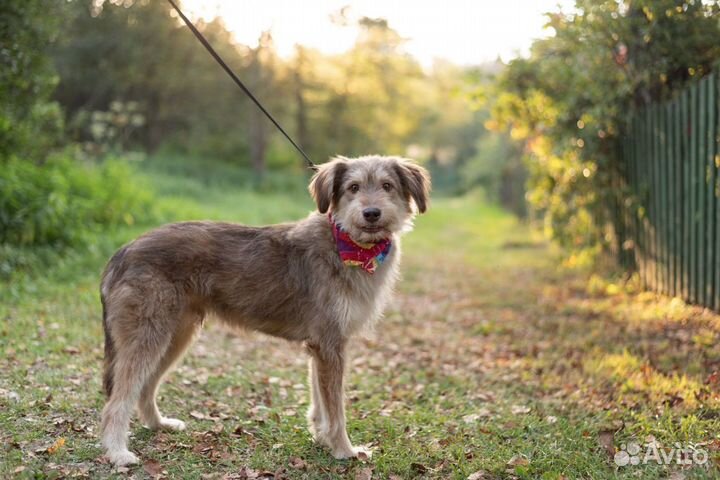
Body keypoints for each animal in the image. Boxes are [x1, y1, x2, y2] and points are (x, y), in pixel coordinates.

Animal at [100, 155, 428, 464]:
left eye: (387, 186)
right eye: (353, 187)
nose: (371, 213)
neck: (347, 244)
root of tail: (123, 252)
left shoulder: (320, 347)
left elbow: (320, 404)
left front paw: (323, 439)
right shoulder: (330, 345)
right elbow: (336, 410)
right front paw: (344, 450)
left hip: (174, 336)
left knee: (145, 388)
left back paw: (158, 425)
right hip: (147, 338)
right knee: (117, 401)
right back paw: (117, 453)